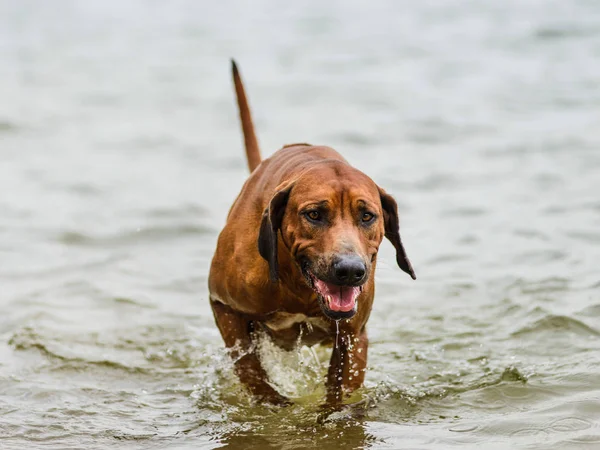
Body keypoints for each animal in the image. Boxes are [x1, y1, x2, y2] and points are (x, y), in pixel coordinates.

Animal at [209, 58, 414, 406]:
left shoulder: (352, 336)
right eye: (314, 214)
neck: (297, 287)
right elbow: (251, 371)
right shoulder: (223, 305)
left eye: (367, 216)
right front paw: (278, 405)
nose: (350, 271)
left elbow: (339, 396)